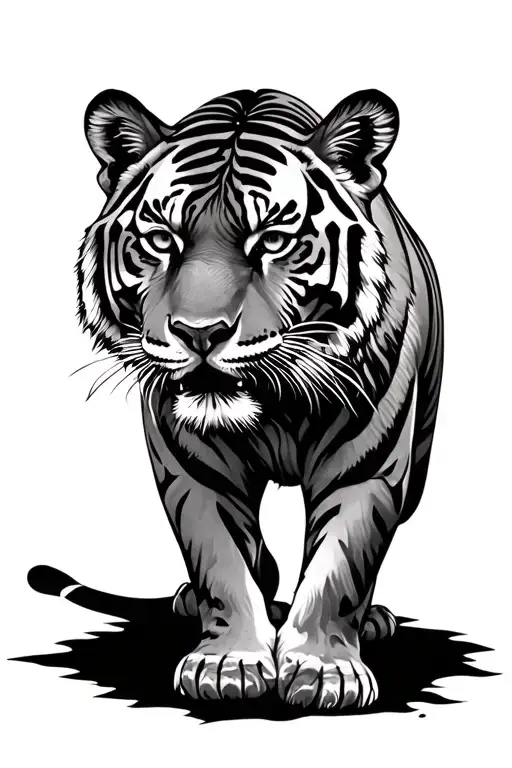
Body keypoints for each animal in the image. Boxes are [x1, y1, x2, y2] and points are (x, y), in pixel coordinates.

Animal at [77, 87, 443, 711]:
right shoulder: (196, 468)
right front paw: (228, 662)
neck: (277, 408)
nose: (199, 333)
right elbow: (223, 558)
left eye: (272, 241)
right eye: (161, 240)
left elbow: (340, 567)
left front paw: (324, 668)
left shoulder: (365, 467)